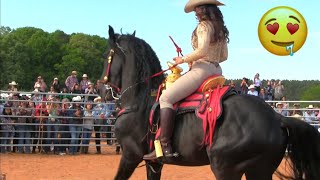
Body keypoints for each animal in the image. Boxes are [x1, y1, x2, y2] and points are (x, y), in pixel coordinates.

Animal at [100, 25, 320, 180]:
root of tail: (276, 118)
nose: (103, 90)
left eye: (106, 56)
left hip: (225, 167)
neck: (139, 101)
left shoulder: (130, 155)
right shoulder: (153, 163)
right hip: (258, 170)